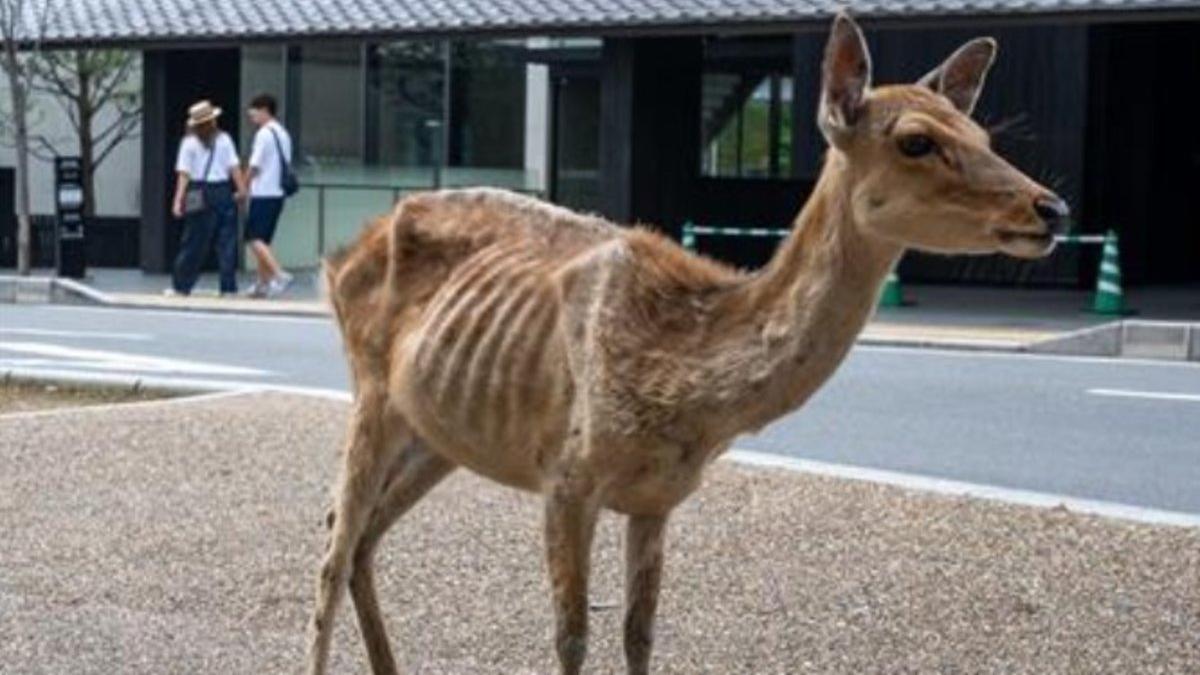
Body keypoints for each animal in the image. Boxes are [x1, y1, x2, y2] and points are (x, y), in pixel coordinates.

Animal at [309, 11, 1070, 672]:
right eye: (915, 139)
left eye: (982, 132)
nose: (1052, 207)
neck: (690, 393)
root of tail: (339, 255)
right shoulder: (566, 474)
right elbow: (572, 637)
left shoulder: (659, 498)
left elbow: (639, 632)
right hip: (371, 389)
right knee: (333, 548)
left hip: (440, 431)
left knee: (362, 536)